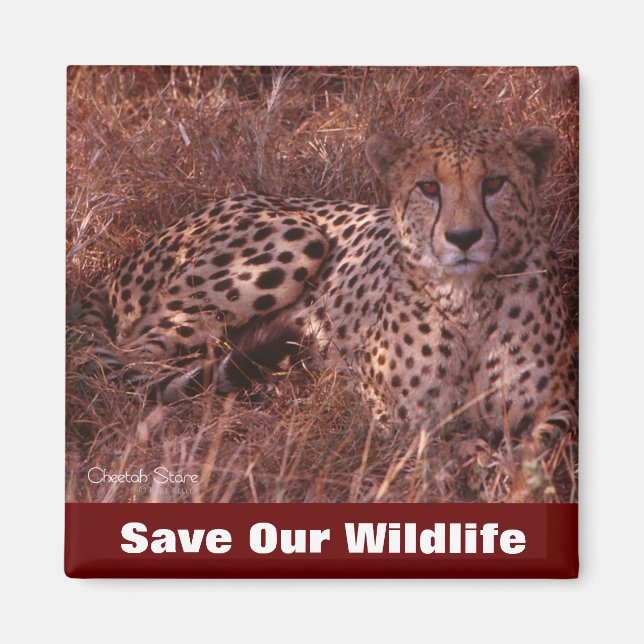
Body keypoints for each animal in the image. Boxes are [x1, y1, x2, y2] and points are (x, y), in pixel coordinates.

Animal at [77, 123, 576, 440]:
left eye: (494, 183)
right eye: (428, 187)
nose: (464, 237)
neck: (468, 299)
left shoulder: (559, 407)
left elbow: (538, 449)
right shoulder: (393, 413)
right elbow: (448, 444)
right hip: (297, 238)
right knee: (130, 358)